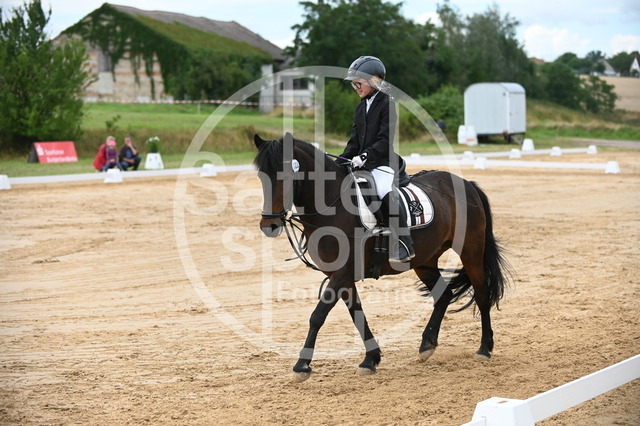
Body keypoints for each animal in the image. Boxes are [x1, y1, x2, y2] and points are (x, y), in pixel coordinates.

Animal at [253, 133, 509, 381]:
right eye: (260, 177)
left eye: (287, 176)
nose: (269, 225)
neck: (333, 208)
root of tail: (467, 184)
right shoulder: (342, 275)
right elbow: (356, 313)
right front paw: (370, 359)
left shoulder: (343, 272)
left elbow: (318, 315)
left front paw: (302, 366)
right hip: (424, 261)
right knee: (443, 295)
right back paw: (427, 345)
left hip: (470, 250)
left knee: (482, 294)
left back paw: (484, 349)